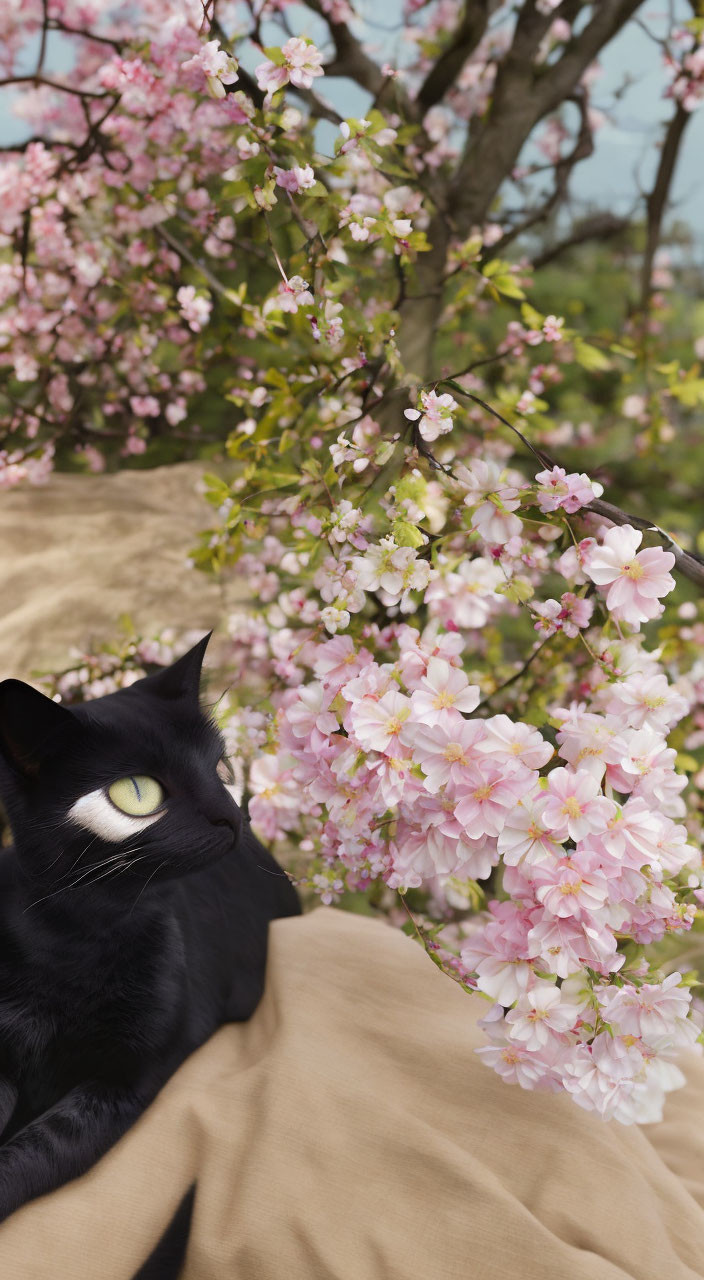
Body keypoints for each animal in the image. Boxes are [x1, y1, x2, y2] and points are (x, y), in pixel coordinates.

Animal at [0, 634, 300, 1223]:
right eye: (137, 792)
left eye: (221, 768)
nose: (232, 815)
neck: (79, 936)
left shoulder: (127, 1080)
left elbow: (35, 1151)